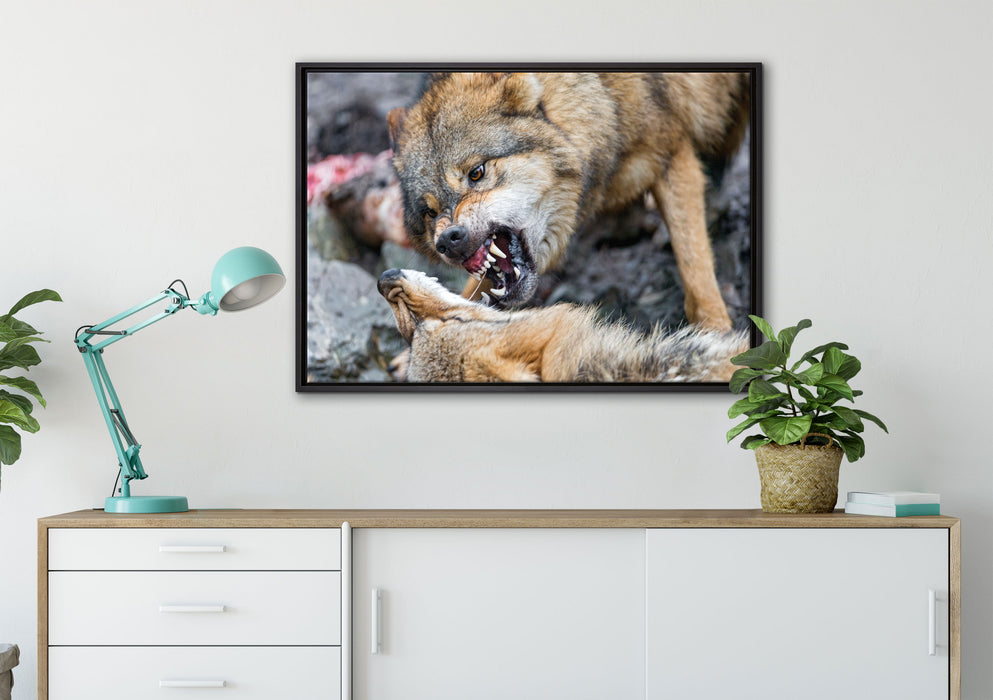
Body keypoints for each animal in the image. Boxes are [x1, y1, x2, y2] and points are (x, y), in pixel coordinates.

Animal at [386, 71, 751, 331]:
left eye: (476, 173)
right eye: (430, 212)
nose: (448, 239)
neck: (603, 98)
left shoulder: (673, 152)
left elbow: (694, 264)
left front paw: (717, 334)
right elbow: (473, 291)